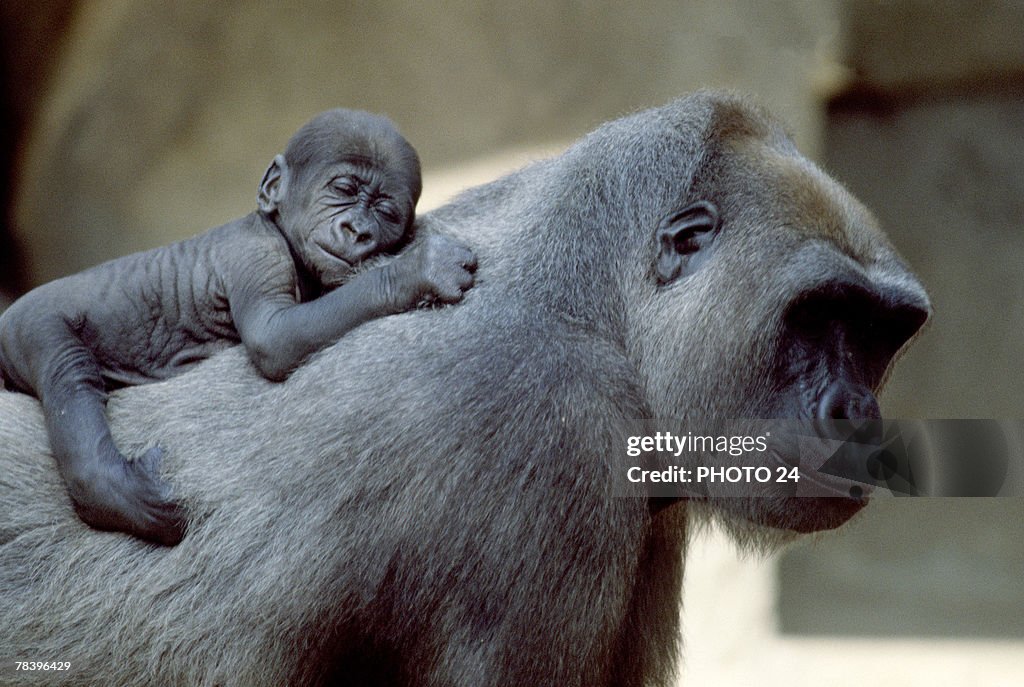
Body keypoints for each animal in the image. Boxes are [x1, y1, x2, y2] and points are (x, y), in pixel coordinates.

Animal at [0, 110, 475, 544]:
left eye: (386, 212)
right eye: (343, 190)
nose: (357, 230)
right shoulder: (258, 253)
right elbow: (273, 339)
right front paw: (419, 270)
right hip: (28, 323)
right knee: (68, 374)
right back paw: (113, 492)